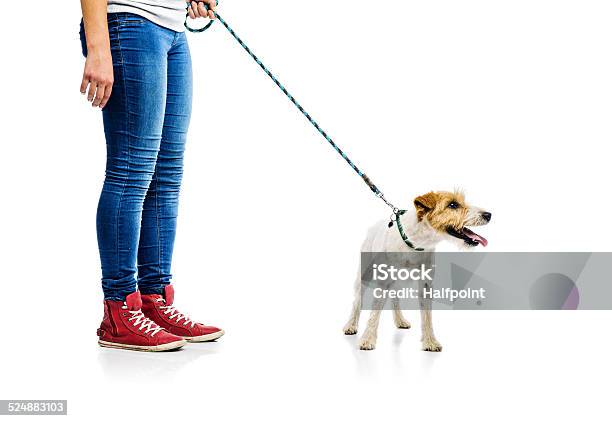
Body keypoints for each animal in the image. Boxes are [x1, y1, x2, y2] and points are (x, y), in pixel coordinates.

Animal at [344, 189, 492, 350]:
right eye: (453, 205)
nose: (488, 215)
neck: (415, 242)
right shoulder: (383, 282)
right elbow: (374, 312)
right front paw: (367, 339)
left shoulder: (426, 284)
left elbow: (427, 316)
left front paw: (430, 341)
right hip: (365, 274)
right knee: (357, 301)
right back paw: (351, 325)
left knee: (395, 297)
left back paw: (400, 320)